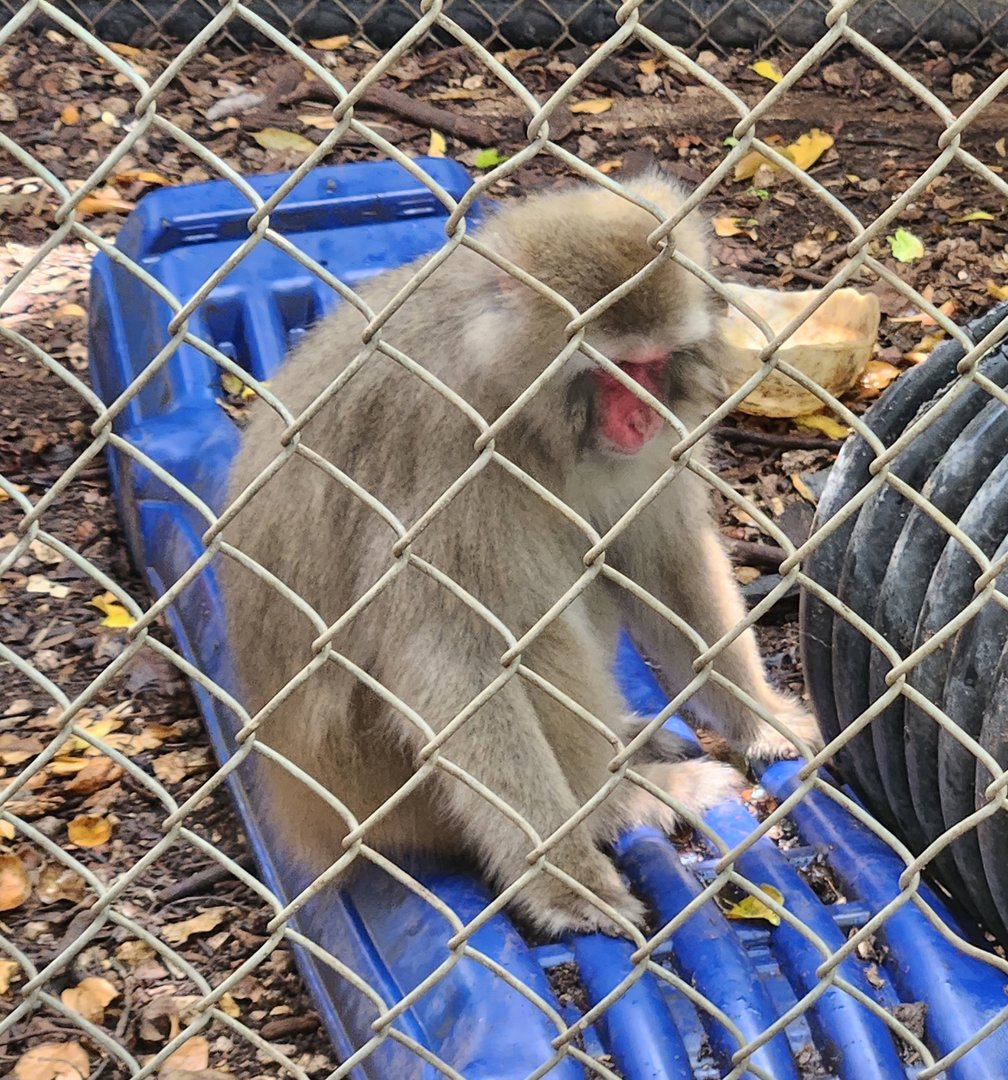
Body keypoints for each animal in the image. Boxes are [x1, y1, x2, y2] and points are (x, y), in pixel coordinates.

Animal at [216, 170, 823, 937]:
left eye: (654, 365)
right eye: (614, 370)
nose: (641, 417)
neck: (517, 403)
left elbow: (656, 554)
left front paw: (758, 717)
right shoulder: (446, 449)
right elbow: (457, 658)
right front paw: (564, 880)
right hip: (372, 776)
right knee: (530, 628)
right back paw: (621, 801)